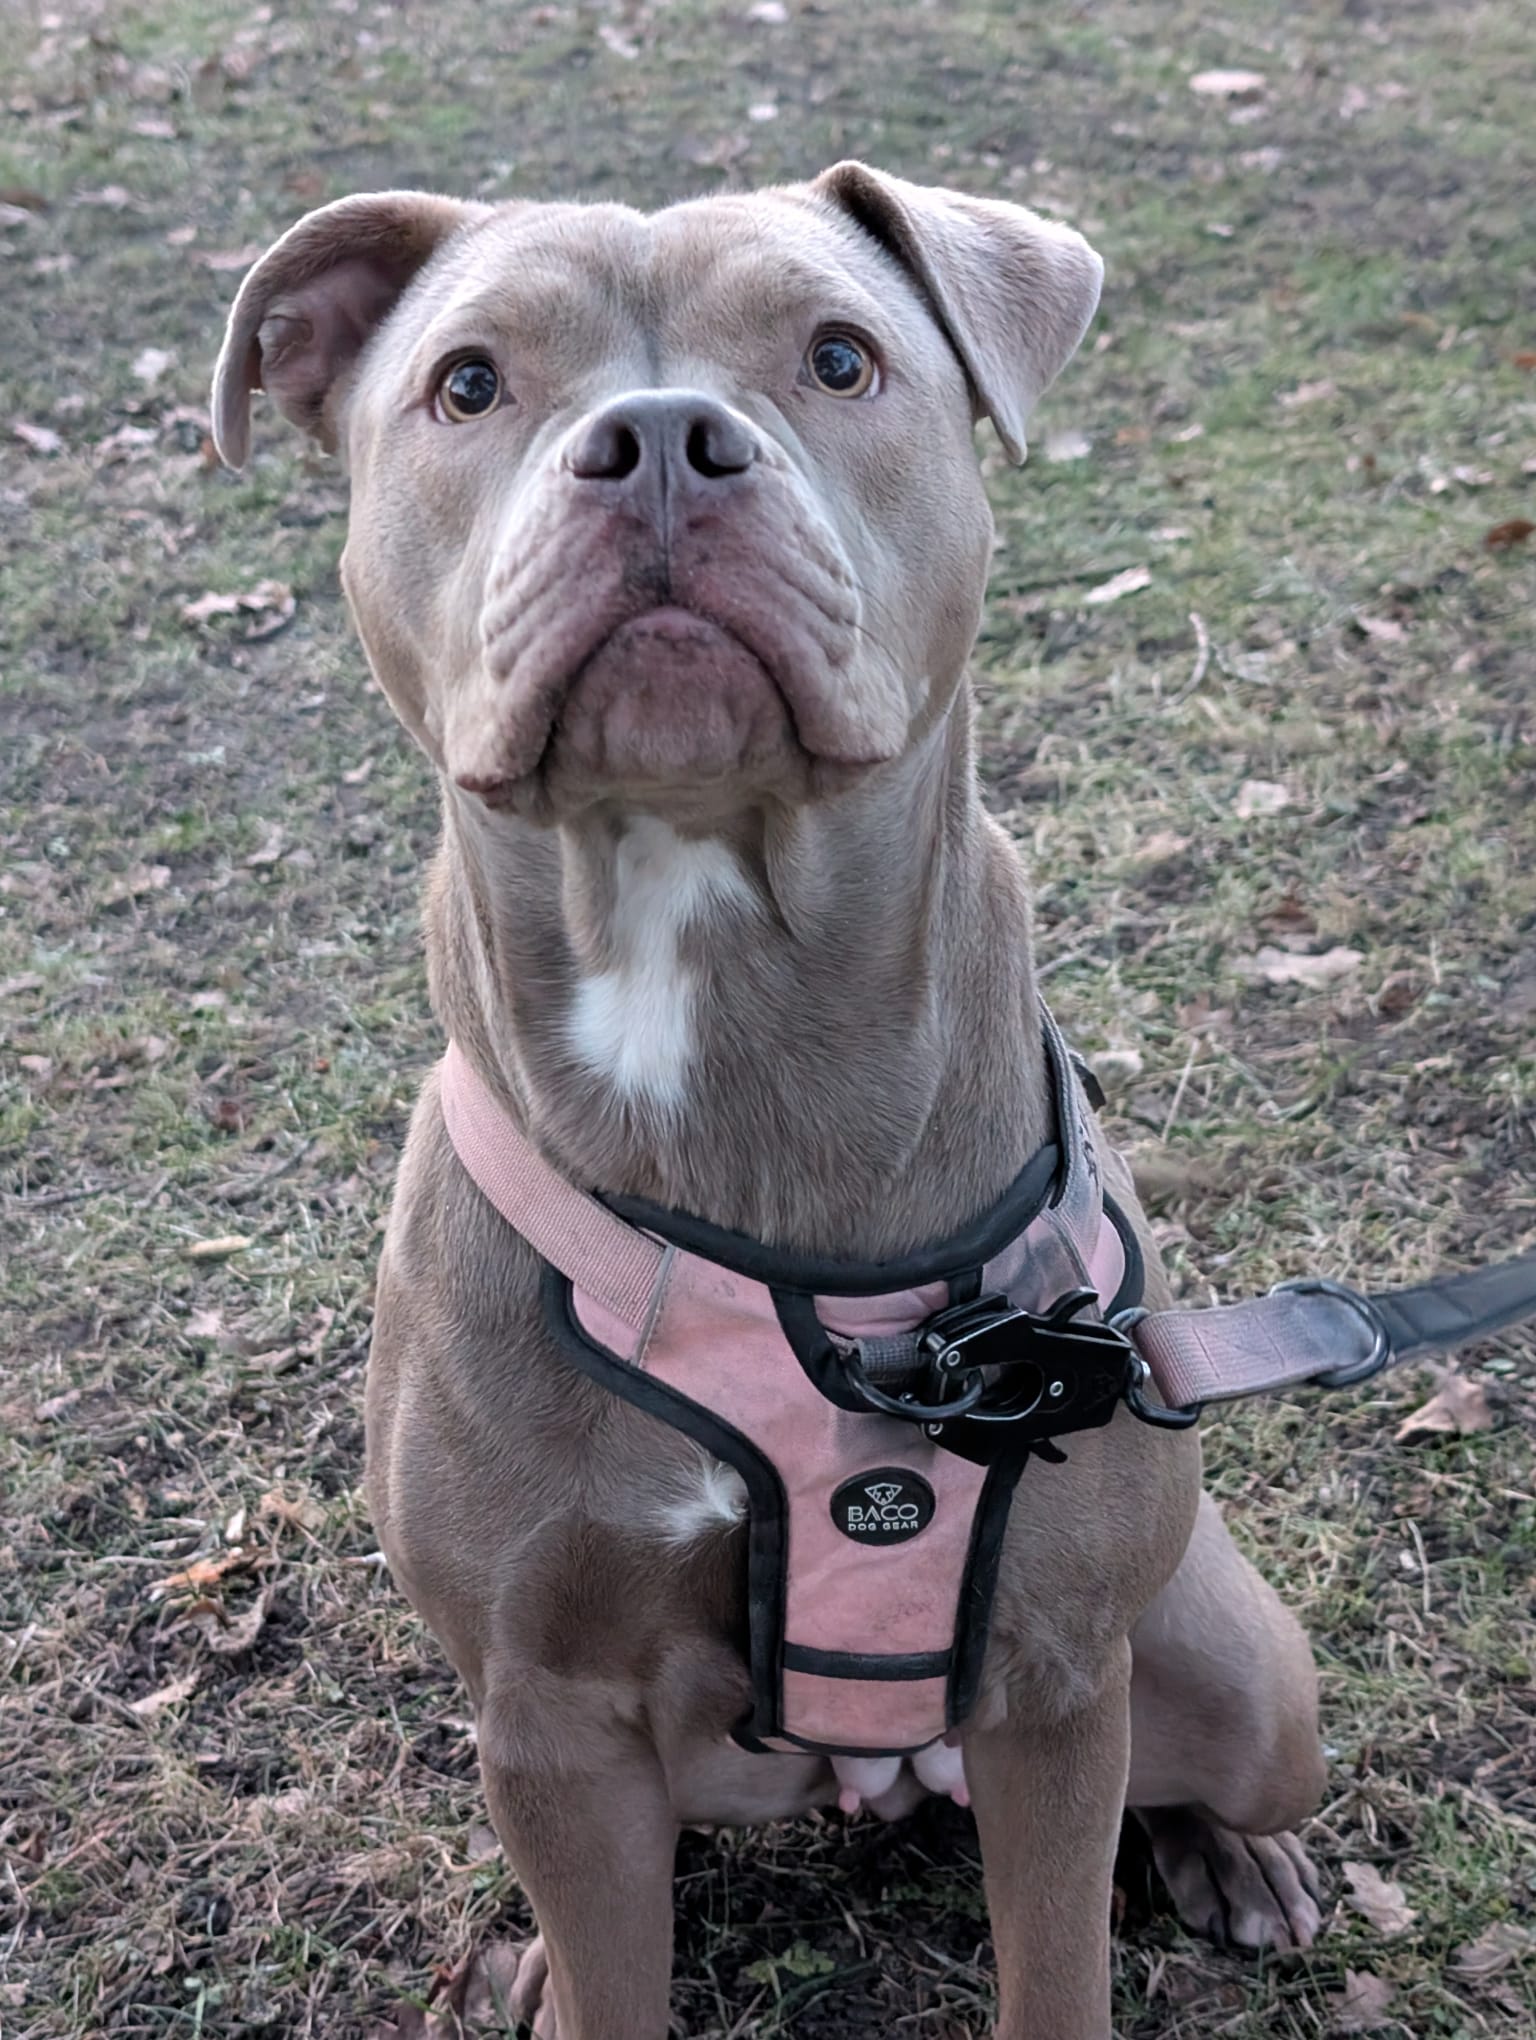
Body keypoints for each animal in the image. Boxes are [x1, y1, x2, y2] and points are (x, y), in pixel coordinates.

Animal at [212, 166, 1326, 2039]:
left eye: (838, 356)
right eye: (467, 383)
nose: (662, 438)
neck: (702, 962)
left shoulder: (1051, 1684)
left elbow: (1054, 1969)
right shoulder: (547, 1713)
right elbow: (616, 1967)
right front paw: (572, 1973)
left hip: (1235, 1676)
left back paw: (1235, 1856)